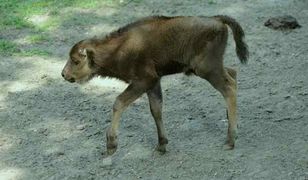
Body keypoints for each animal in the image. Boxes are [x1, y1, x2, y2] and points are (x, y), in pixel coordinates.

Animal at [62, 15, 248, 155]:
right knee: (233, 73)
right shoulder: (154, 83)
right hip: (209, 68)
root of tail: (217, 20)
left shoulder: (144, 81)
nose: (64, 74)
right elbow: (156, 110)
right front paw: (161, 145)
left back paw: (230, 140)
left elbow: (119, 102)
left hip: (207, 70)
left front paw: (111, 145)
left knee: (229, 87)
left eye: (76, 61)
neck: (119, 48)